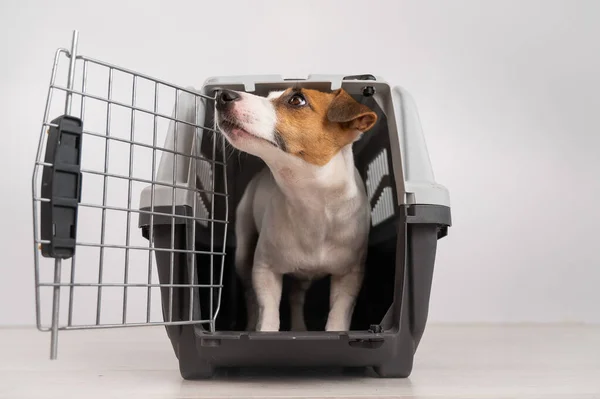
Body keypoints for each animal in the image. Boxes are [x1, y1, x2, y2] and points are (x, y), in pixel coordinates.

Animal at [214, 88, 376, 334]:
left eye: (296, 100)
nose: (223, 95)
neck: (312, 203)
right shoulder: (265, 271)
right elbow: (268, 314)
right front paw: (264, 329)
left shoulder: (349, 277)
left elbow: (337, 317)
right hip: (244, 251)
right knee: (250, 295)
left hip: (305, 276)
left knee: (295, 295)